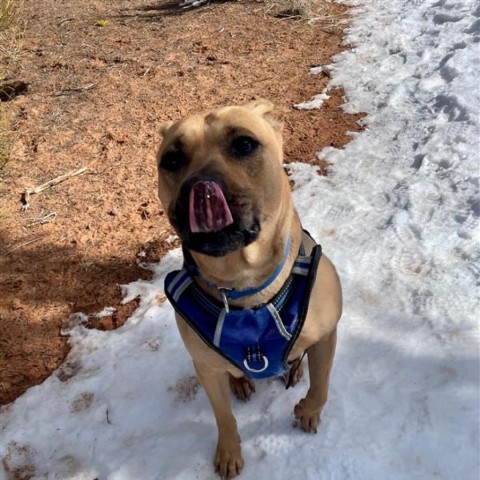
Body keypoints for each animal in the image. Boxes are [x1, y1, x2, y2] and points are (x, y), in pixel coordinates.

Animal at [157, 99, 342, 478]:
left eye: (244, 144)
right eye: (171, 160)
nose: (200, 186)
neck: (245, 284)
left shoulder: (327, 335)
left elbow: (322, 384)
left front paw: (308, 411)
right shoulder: (206, 368)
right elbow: (223, 416)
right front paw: (229, 452)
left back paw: (294, 368)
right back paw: (241, 381)